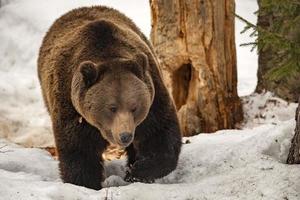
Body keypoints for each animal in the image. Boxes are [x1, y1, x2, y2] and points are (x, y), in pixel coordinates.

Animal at [38, 5, 183, 190]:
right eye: (111, 108)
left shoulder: (153, 95)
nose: (125, 136)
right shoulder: (71, 106)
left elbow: (158, 135)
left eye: (134, 107)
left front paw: (137, 170)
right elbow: (79, 149)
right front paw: (86, 183)